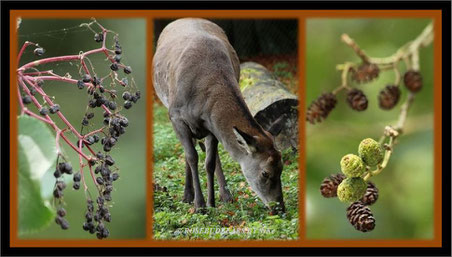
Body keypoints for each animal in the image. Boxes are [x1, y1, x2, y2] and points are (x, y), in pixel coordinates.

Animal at [154, 18, 284, 213]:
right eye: (265, 172)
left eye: (282, 168)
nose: (280, 208)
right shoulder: (175, 116)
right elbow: (192, 157)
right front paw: (199, 205)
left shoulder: (211, 124)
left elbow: (209, 162)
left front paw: (211, 202)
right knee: (190, 150)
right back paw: (187, 195)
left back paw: (225, 195)